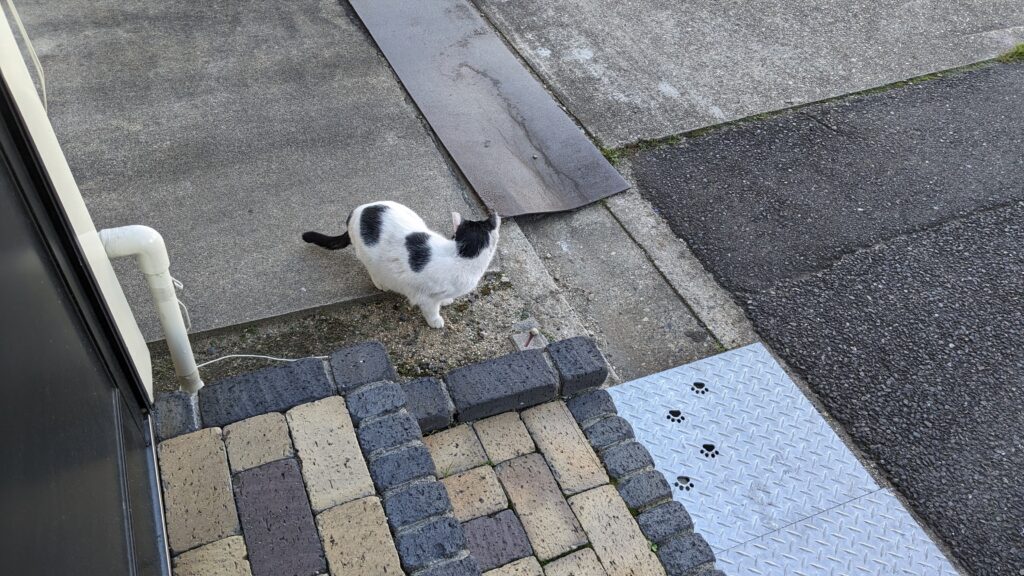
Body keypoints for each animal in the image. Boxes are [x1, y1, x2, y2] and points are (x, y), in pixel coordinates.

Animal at [299, 201, 499, 327]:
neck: (462, 256)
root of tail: (356, 211)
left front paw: (446, 300)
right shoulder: (426, 298)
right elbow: (432, 310)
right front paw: (435, 321)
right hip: (367, 255)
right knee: (372, 268)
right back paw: (381, 283)